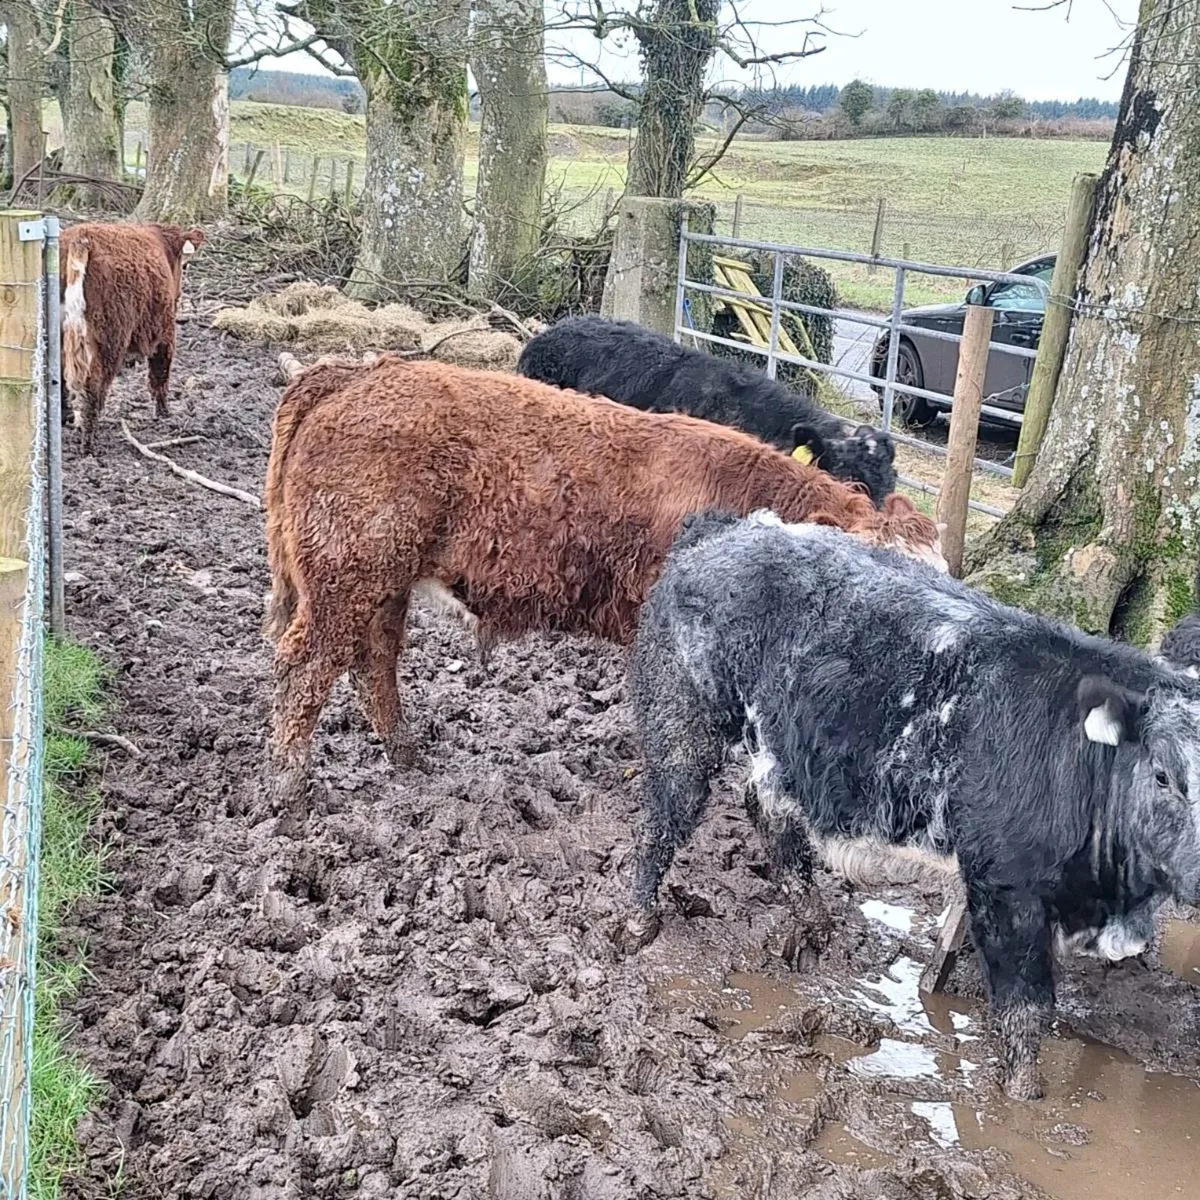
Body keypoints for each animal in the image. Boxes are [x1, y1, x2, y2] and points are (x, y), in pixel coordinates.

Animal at [60, 221, 205, 453]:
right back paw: (89, 445)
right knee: (94, 386)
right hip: (109, 340)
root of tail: (81, 237)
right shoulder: (165, 330)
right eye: (182, 264)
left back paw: (66, 419)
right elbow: (160, 372)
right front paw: (163, 413)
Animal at [262, 355, 944, 808]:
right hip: (348, 577)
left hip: (382, 584)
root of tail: (361, 372)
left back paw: (408, 759)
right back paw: (289, 787)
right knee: (307, 666)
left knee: (373, 662)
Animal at [626, 510, 1200, 1102]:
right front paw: (1023, 1100)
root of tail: (730, 528)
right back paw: (640, 920)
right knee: (664, 820)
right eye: (1163, 775)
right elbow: (1025, 1011)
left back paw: (814, 923)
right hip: (682, 721)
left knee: (768, 811)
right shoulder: (1005, 889)